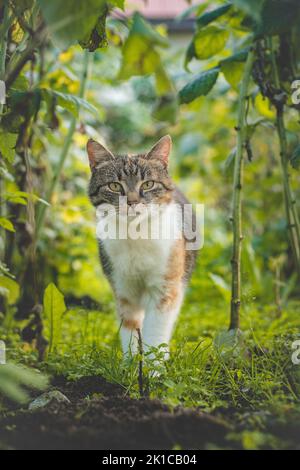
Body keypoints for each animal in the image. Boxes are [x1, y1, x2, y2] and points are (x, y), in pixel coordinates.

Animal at [86, 134, 198, 358]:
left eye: (148, 184)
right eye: (114, 186)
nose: (132, 202)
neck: (135, 234)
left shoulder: (165, 288)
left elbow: (155, 331)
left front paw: (154, 365)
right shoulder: (123, 289)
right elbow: (129, 328)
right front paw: (130, 364)